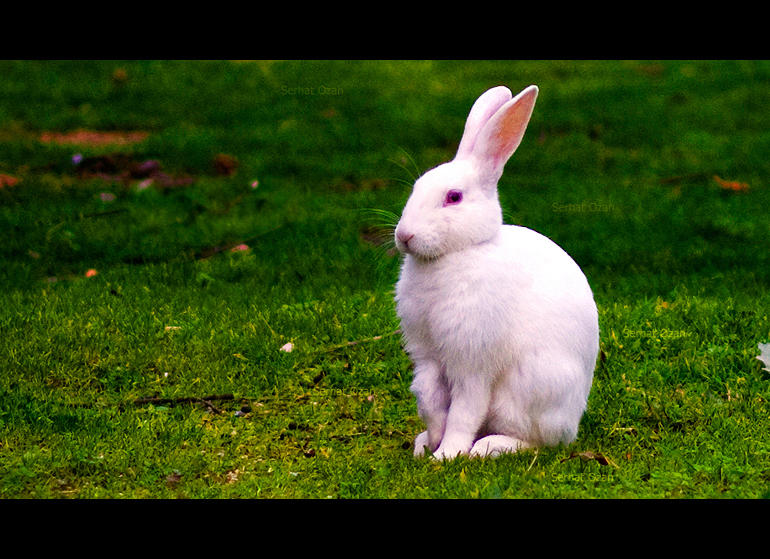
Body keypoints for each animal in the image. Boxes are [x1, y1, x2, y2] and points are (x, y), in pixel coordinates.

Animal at [394, 84, 600, 460]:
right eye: (416, 188)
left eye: (454, 197)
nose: (404, 236)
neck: (455, 254)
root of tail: (572, 424)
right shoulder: (428, 358)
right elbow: (429, 400)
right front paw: (428, 443)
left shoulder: (472, 362)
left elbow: (464, 411)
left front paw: (447, 454)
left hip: (529, 391)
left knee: (539, 441)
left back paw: (488, 447)